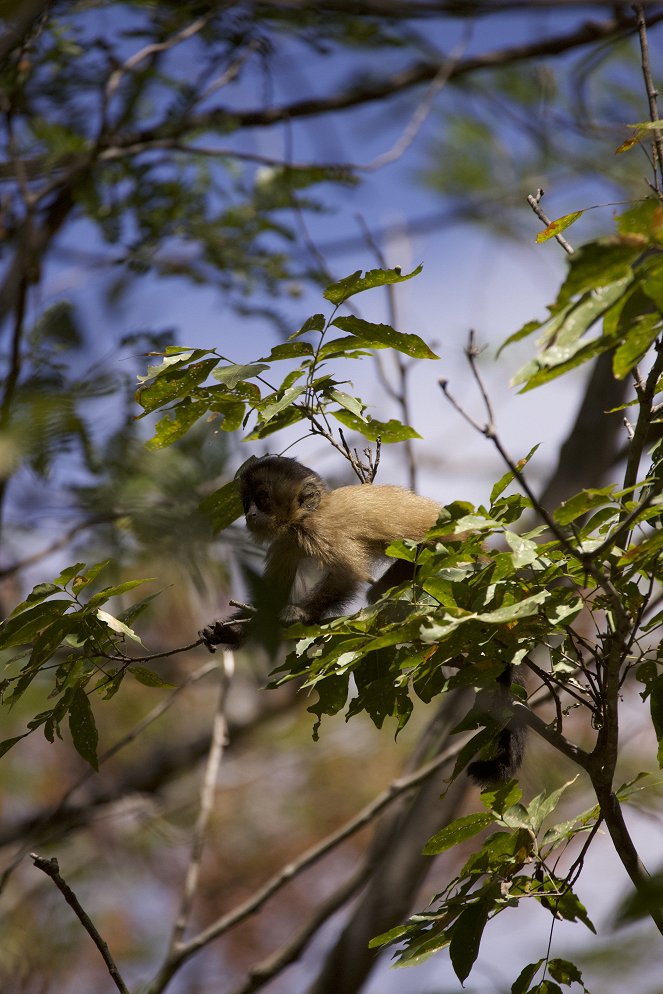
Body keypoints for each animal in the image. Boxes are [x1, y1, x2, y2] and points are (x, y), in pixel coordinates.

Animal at [200, 456, 528, 784]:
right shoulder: (287, 541)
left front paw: (301, 614)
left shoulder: (317, 529)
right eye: (247, 502)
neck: (310, 513)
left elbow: (346, 575)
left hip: (452, 554)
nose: (251, 514)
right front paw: (228, 634)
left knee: (386, 584)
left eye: (263, 498)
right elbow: (270, 603)